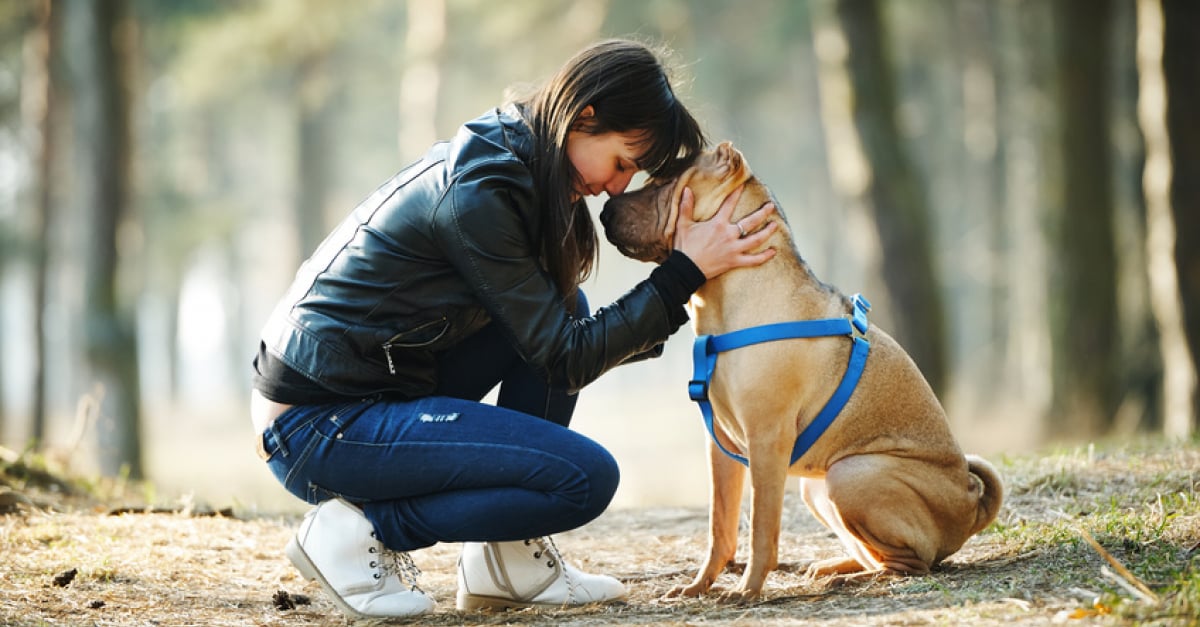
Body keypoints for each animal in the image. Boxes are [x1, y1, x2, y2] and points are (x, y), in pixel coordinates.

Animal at [600, 141, 1003, 600]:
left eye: (663, 182)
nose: (604, 210)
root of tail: (971, 503)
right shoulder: (720, 445)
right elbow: (720, 526)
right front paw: (699, 586)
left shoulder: (766, 439)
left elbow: (761, 527)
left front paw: (747, 589)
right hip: (818, 487)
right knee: (879, 554)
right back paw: (832, 567)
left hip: (851, 474)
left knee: (913, 563)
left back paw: (853, 577)